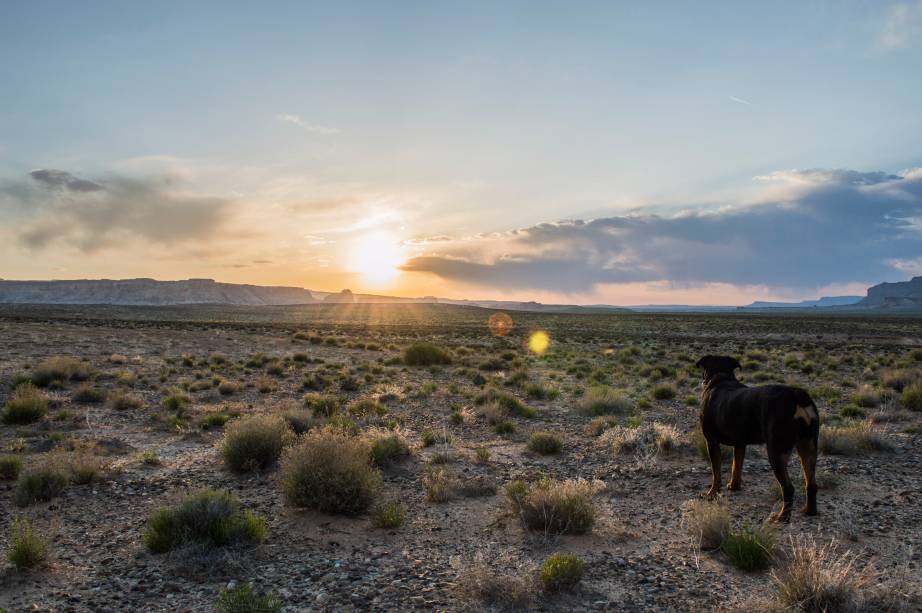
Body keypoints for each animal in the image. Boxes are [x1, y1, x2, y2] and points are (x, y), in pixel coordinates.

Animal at [692, 354, 816, 520]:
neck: (720, 378)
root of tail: (798, 396)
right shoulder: (740, 444)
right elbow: (736, 465)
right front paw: (734, 486)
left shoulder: (711, 442)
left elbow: (716, 472)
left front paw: (712, 494)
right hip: (808, 447)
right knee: (811, 483)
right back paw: (810, 511)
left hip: (776, 451)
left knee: (789, 488)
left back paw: (782, 517)